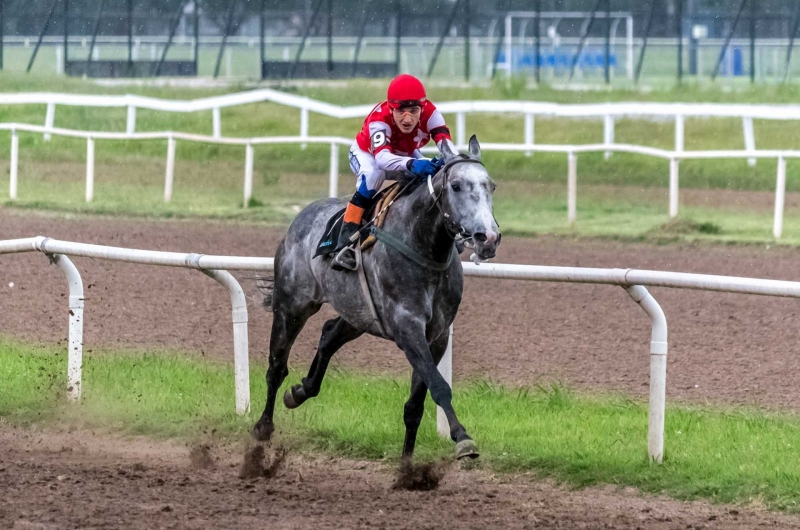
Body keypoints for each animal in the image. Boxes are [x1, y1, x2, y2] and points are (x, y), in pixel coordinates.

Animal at [252, 135, 500, 458]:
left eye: (491, 186)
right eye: (456, 186)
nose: (488, 238)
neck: (423, 247)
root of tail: (303, 215)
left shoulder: (436, 335)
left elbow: (415, 405)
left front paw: (408, 463)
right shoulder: (407, 328)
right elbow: (438, 386)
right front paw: (462, 438)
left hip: (358, 313)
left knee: (329, 334)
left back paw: (300, 391)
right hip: (292, 305)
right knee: (277, 365)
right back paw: (263, 426)